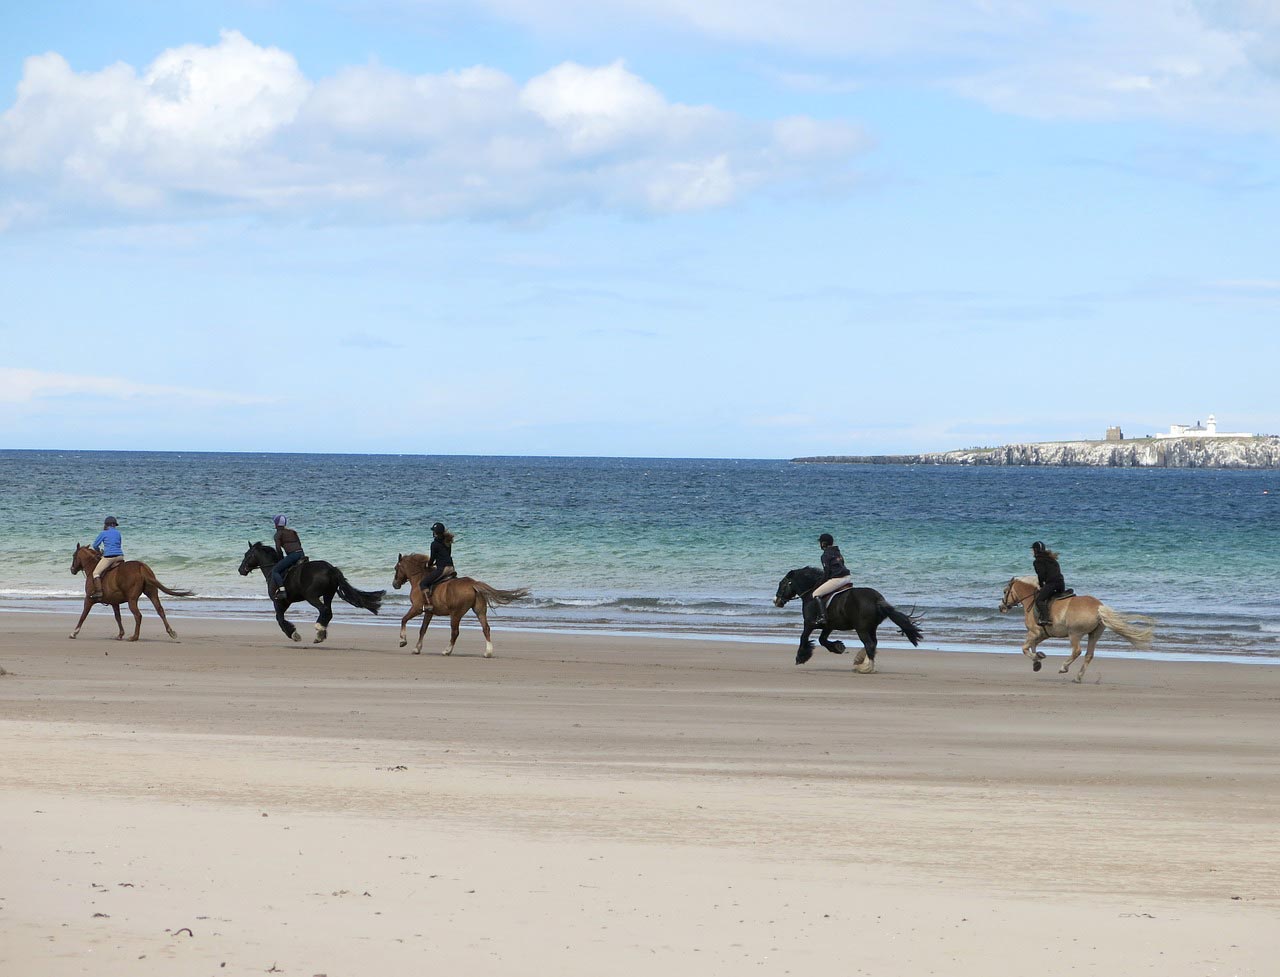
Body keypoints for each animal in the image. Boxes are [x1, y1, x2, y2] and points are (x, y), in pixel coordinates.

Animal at [238, 542, 381, 642]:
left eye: (247, 555)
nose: (240, 570)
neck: (272, 569)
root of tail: (331, 569)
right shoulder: (286, 602)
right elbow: (280, 618)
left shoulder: (279, 602)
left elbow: (279, 619)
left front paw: (293, 634)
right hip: (328, 594)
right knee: (328, 612)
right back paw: (320, 633)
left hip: (311, 596)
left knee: (324, 610)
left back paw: (319, 630)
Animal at [768, 565, 921, 670]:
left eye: (782, 584)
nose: (776, 601)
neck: (811, 593)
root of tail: (877, 599)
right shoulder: (828, 626)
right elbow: (822, 640)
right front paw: (838, 647)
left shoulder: (809, 623)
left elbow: (803, 637)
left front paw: (801, 657)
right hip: (871, 628)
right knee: (873, 643)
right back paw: (863, 662)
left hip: (862, 628)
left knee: (869, 644)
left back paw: (866, 667)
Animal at [998, 573, 1162, 681]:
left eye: (1005, 591)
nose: (1001, 607)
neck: (1032, 600)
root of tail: (1098, 607)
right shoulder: (1042, 634)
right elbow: (1033, 646)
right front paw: (1037, 661)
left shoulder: (1034, 632)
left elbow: (1025, 648)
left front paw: (1037, 660)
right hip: (1094, 635)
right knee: (1089, 655)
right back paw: (1078, 677)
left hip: (1074, 634)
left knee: (1077, 651)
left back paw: (1064, 668)